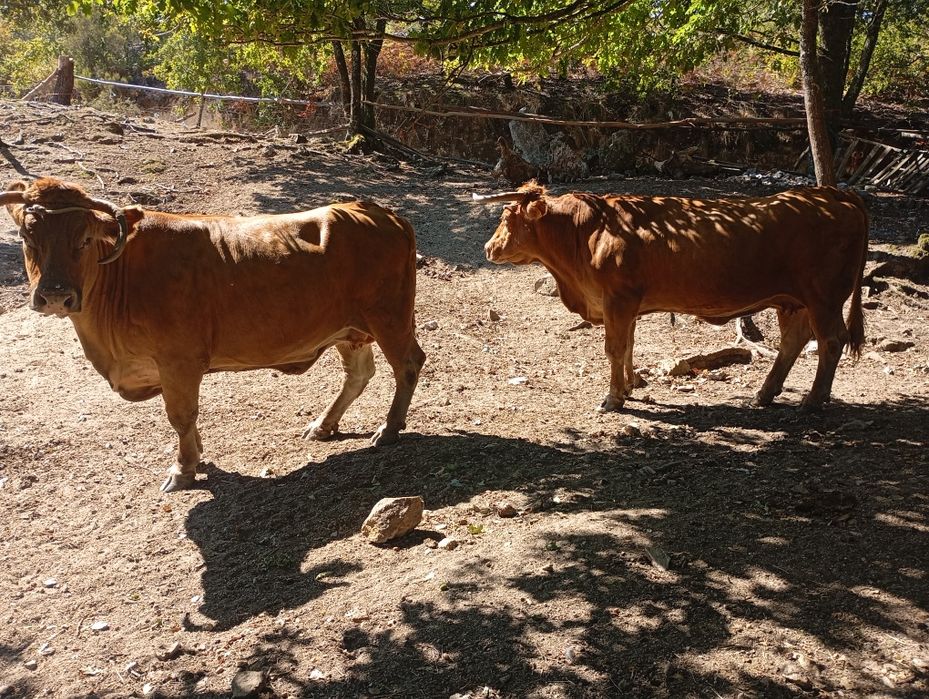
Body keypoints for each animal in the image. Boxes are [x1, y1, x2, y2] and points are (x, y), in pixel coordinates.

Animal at [2, 177, 426, 492]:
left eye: (85, 240)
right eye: (26, 237)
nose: (56, 294)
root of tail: (377, 211)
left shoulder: (179, 360)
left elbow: (180, 414)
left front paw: (184, 469)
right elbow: (186, 418)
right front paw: (197, 452)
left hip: (389, 316)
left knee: (407, 363)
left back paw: (388, 429)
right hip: (350, 329)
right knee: (359, 374)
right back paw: (323, 425)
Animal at [476, 181, 867, 413]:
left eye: (506, 217)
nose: (488, 248)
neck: (588, 233)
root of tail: (833, 193)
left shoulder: (617, 300)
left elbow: (614, 348)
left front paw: (613, 398)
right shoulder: (624, 305)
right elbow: (629, 346)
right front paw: (629, 386)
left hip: (823, 297)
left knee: (831, 341)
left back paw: (813, 400)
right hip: (793, 300)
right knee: (792, 342)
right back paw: (764, 393)